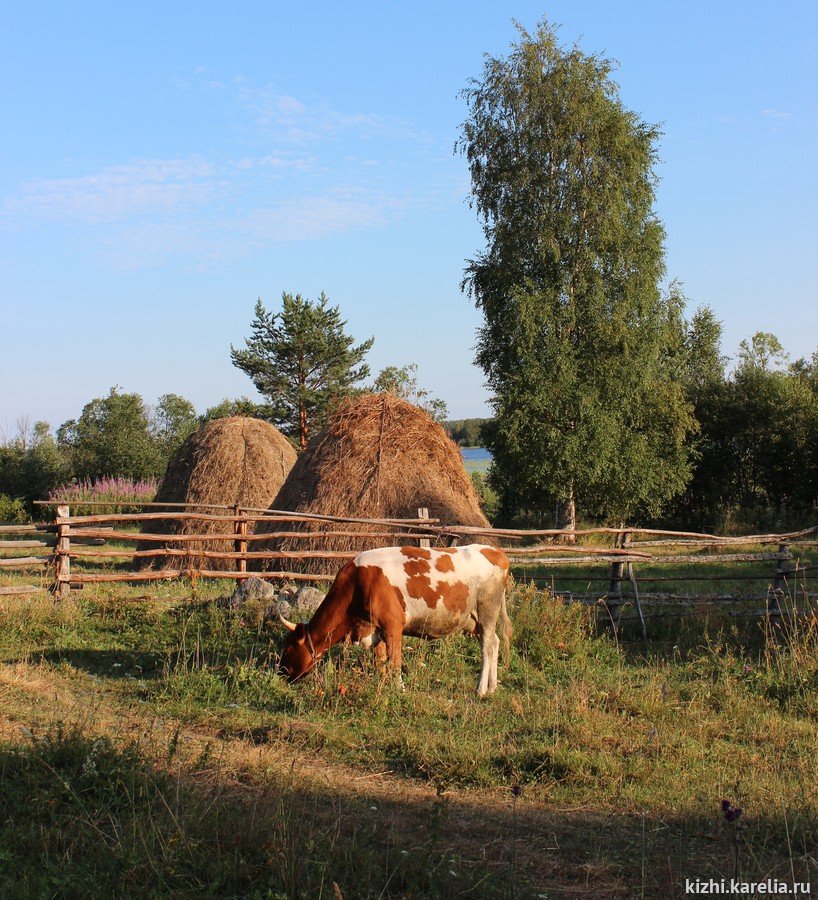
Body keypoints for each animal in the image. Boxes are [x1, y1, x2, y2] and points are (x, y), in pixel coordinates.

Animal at [280, 540, 510, 696]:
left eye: (288, 649)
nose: (281, 673)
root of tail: (496, 551)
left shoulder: (393, 625)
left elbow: (395, 661)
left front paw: (399, 689)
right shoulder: (376, 629)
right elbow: (380, 662)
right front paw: (382, 686)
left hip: (487, 611)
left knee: (487, 647)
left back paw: (480, 689)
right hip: (477, 620)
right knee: (495, 642)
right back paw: (492, 686)